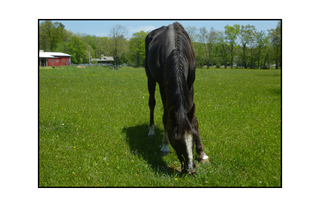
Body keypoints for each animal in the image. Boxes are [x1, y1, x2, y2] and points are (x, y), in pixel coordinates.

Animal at [146, 21, 210, 173]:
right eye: (175, 139)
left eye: (193, 136)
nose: (190, 168)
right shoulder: (163, 86)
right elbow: (166, 116)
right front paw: (164, 146)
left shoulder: (190, 84)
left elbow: (194, 118)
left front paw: (202, 154)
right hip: (150, 78)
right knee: (152, 103)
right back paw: (151, 130)